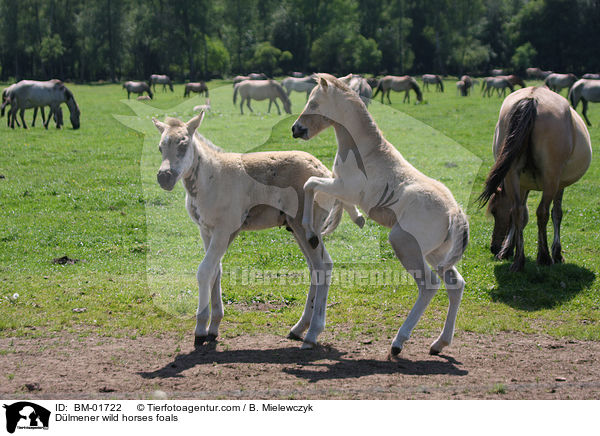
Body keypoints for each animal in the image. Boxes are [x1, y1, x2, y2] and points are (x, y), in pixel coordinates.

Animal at [152, 111, 364, 348]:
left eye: (183, 144)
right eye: (160, 147)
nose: (164, 177)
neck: (212, 178)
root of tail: (327, 174)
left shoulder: (223, 229)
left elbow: (205, 271)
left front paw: (200, 330)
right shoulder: (207, 230)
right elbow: (216, 271)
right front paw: (213, 327)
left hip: (307, 227)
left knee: (324, 267)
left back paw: (312, 333)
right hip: (299, 230)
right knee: (314, 269)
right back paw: (299, 328)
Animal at [290, 73, 468, 356]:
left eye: (314, 102)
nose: (296, 129)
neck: (364, 150)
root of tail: (455, 213)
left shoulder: (344, 187)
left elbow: (310, 184)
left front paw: (312, 230)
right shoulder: (341, 186)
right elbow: (330, 196)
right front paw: (354, 219)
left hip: (405, 244)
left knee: (429, 285)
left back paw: (398, 342)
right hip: (438, 254)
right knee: (456, 285)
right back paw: (439, 343)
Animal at [478, 86, 592, 270]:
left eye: (494, 211)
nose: (494, 248)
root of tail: (532, 98)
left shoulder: (523, 186)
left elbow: (520, 214)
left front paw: (508, 250)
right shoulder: (559, 185)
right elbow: (556, 213)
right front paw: (556, 253)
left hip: (512, 174)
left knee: (517, 210)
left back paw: (519, 262)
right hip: (551, 178)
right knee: (542, 212)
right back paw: (544, 257)